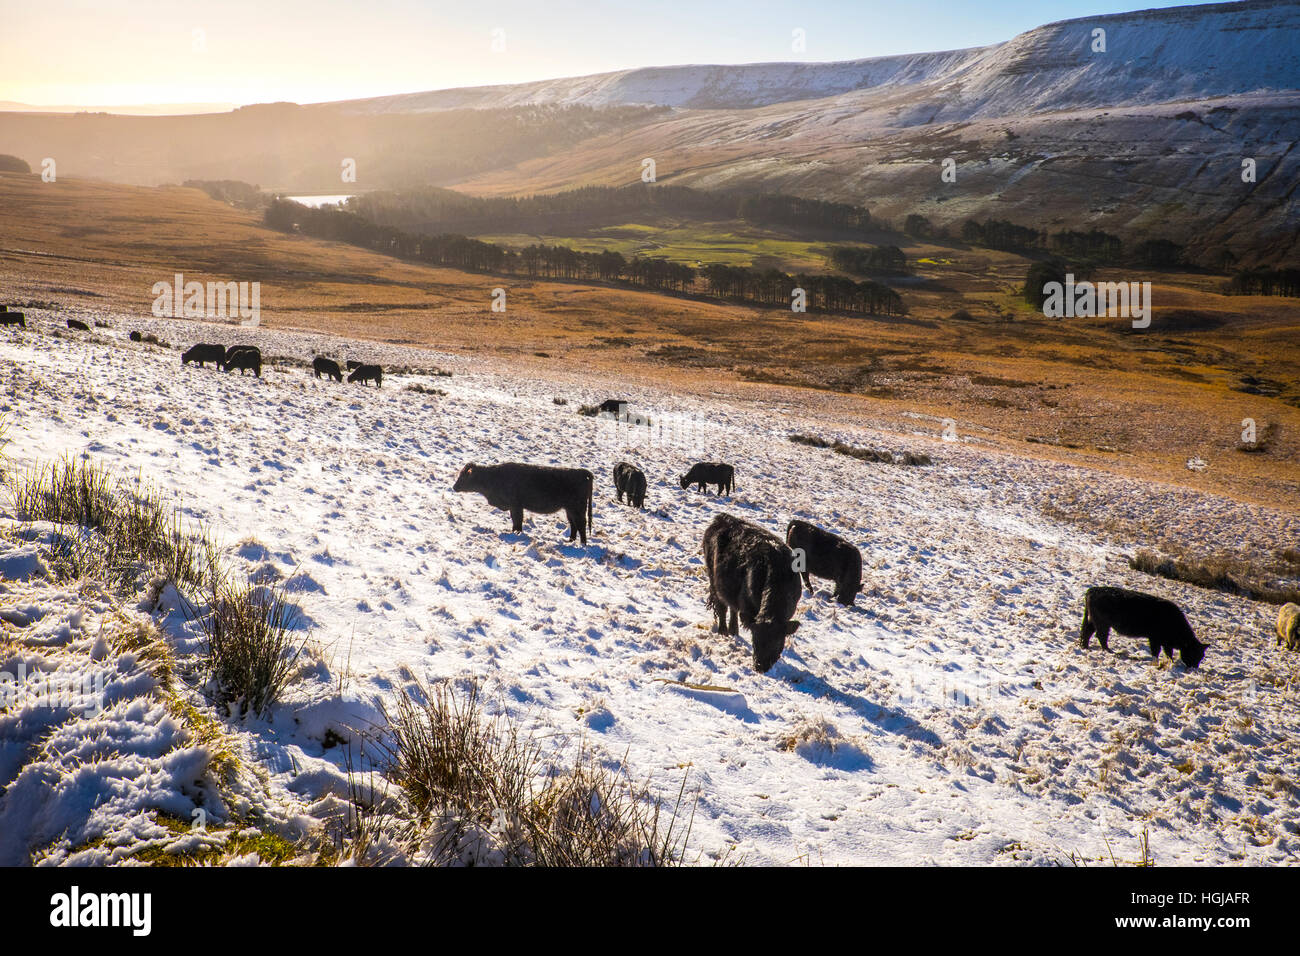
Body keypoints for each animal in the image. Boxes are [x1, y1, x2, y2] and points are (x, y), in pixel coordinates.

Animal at [452, 463, 595, 546]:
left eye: (463, 476)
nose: (454, 487)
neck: (493, 477)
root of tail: (581, 472)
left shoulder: (516, 506)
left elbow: (517, 521)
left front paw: (516, 533)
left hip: (577, 509)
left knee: (581, 525)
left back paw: (582, 544)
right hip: (569, 509)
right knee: (573, 525)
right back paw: (570, 541)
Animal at [702, 515, 800, 671]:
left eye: (778, 641)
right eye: (755, 640)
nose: (760, 667)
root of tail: (724, 518)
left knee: (733, 608)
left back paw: (734, 631)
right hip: (713, 577)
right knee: (722, 607)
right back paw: (723, 632)